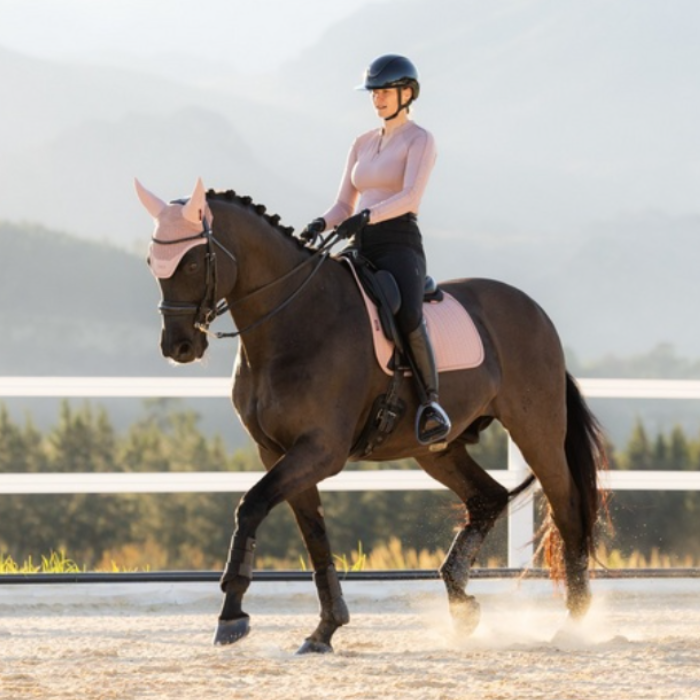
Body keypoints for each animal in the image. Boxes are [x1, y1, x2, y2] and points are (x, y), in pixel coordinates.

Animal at [135, 177, 607, 653]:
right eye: (153, 262)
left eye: (193, 262)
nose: (178, 346)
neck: (293, 320)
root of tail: (535, 312)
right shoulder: (277, 452)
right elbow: (314, 537)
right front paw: (325, 630)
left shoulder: (321, 450)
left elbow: (250, 507)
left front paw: (232, 616)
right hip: (437, 449)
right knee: (486, 497)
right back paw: (461, 602)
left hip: (536, 430)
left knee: (566, 507)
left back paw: (574, 620)